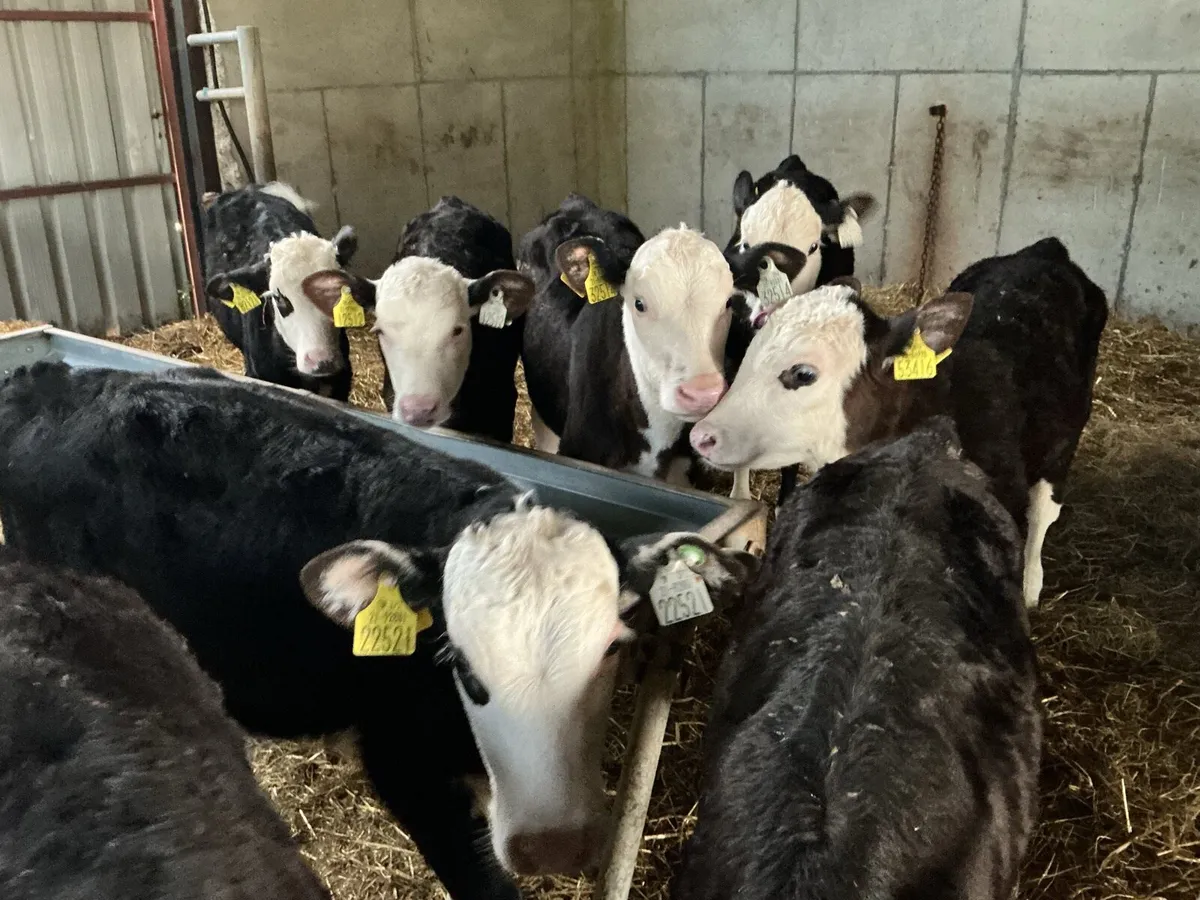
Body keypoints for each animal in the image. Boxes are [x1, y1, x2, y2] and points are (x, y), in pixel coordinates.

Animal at [689, 237, 1109, 609]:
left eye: (803, 374)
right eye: (750, 352)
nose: (702, 436)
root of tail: (1045, 249)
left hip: (1063, 442)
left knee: (1043, 512)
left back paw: (1032, 585)